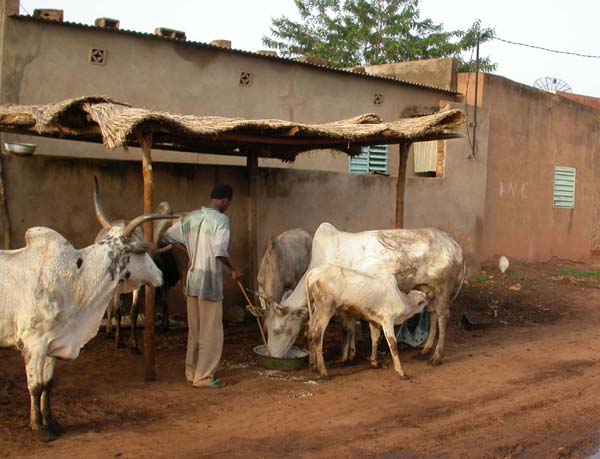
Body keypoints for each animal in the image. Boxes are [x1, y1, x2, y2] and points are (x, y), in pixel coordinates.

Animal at [268, 223, 468, 366]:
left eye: (278, 330)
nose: (273, 355)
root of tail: (455, 245)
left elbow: (346, 328)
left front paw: (345, 357)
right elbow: (350, 327)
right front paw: (351, 353)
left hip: (443, 289)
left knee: (442, 318)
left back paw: (437, 356)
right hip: (429, 289)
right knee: (433, 315)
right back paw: (425, 351)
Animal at [304, 264, 432, 380]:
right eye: (424, 299)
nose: (430, 302)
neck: (401, 300)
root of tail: (312, 273)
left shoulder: (374, 321)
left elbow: (375, 339)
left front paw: (375, 362)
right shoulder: (387, 320)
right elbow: (393, 344)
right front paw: (401, 372)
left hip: (315, 310)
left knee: (309, 332)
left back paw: (314, 366)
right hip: (326, 310)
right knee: (317, 335)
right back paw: (323, 372)